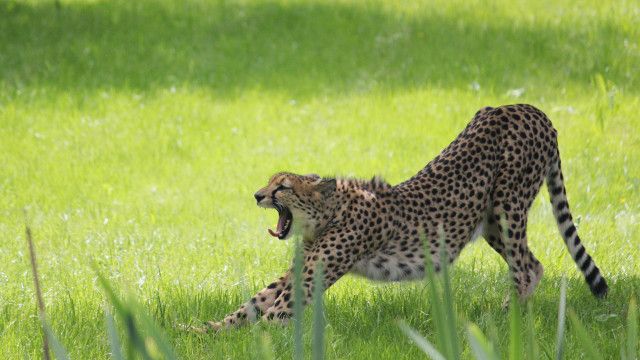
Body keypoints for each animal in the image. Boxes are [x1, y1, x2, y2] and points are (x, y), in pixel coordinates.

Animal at [202, 102, 608, 330]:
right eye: (268, 182)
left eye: (282, 187)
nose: (257, 195)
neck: (330, 213)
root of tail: (531, 109)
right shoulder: (299, 270)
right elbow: (253, 304)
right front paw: (204, 330)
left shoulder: (308, 280)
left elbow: (271, 317)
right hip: (492, 221)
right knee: (533, 264)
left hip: (508, 209)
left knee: (526, 267)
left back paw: (502, 319)